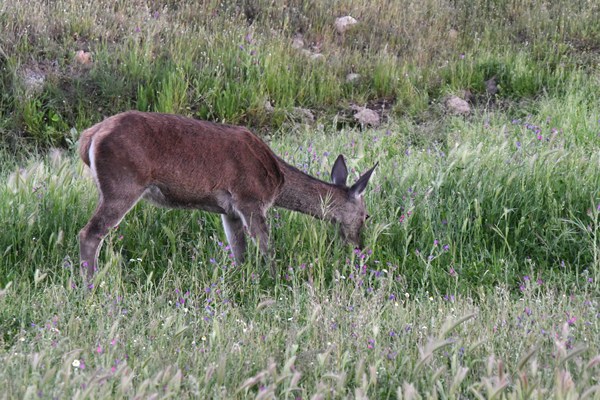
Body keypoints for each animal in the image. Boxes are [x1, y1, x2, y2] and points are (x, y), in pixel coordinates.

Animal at [77, 110, 372, 282]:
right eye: (367, 215)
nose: (359, 247)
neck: (278, 181)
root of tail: (89, 137)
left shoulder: (229, 212)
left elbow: (238, 252)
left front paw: (242, 282)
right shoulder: (250, 199)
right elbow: (266, 247)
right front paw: (277, 281)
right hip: (123, 184)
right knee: (89, 233)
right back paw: (91, 285)